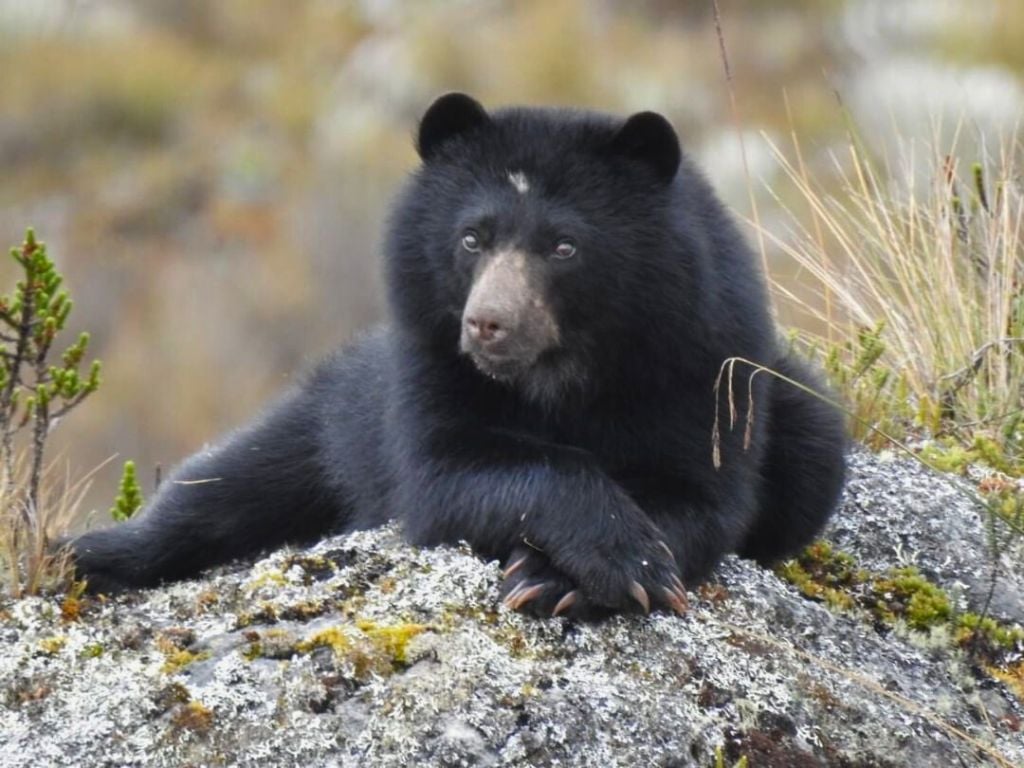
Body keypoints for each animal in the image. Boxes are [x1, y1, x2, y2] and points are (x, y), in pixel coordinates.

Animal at [71, 93, 847, 618]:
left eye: (564, 246)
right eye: (472, 237)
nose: (487, 326)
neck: (560, 376)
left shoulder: (701, 366)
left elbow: (701, 495)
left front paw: (569, 576)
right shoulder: (427, 364)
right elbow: (447, 471)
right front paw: (609, 555)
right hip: (335, 416)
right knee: (223, 488)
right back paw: (90, 557)